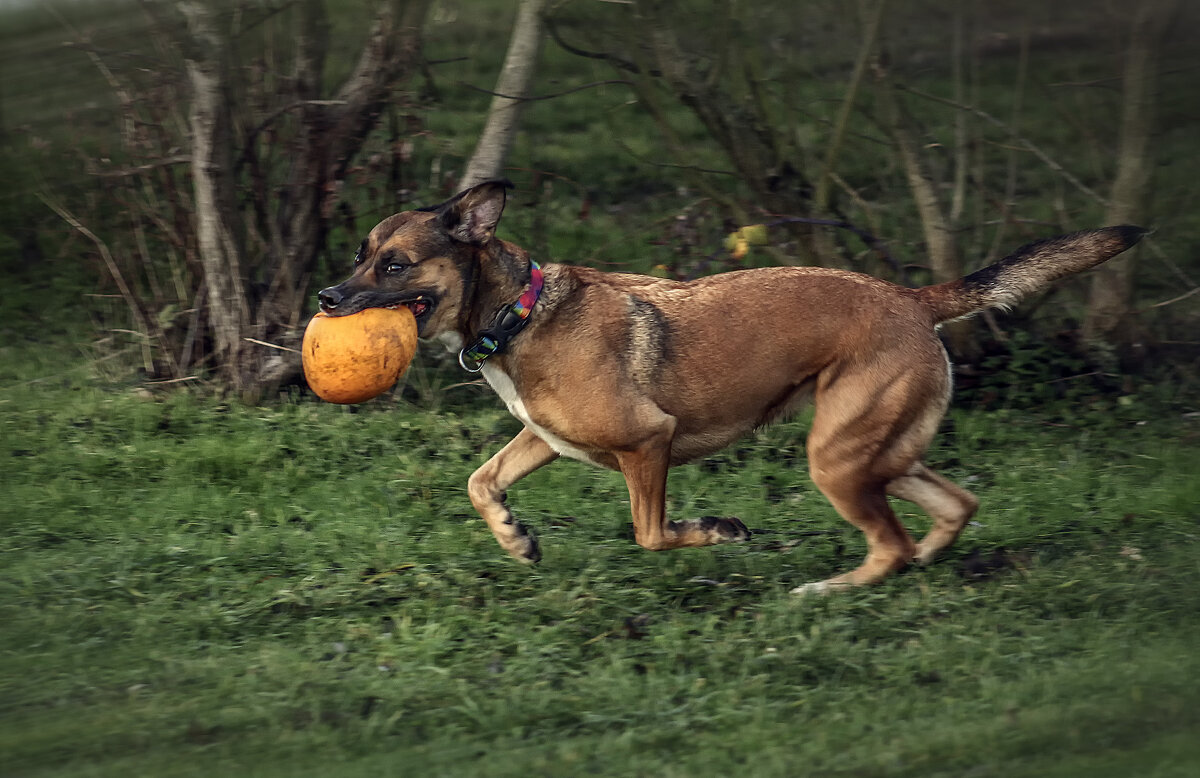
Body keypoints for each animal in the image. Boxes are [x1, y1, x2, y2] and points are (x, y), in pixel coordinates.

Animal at [316, 181, 1142, 595]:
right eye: (360, 254)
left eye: (394, 264)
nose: (326, 297)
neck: (520, 311)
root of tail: (912, 299)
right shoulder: (544, 438)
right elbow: (482, 480)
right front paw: (516, 537)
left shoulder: (648, 443)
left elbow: (651, 533)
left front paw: (717, 532)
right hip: (879, 451)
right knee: (952, 506)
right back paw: (925, 565)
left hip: (837, 457)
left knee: (892, 542)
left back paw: (831, 588)